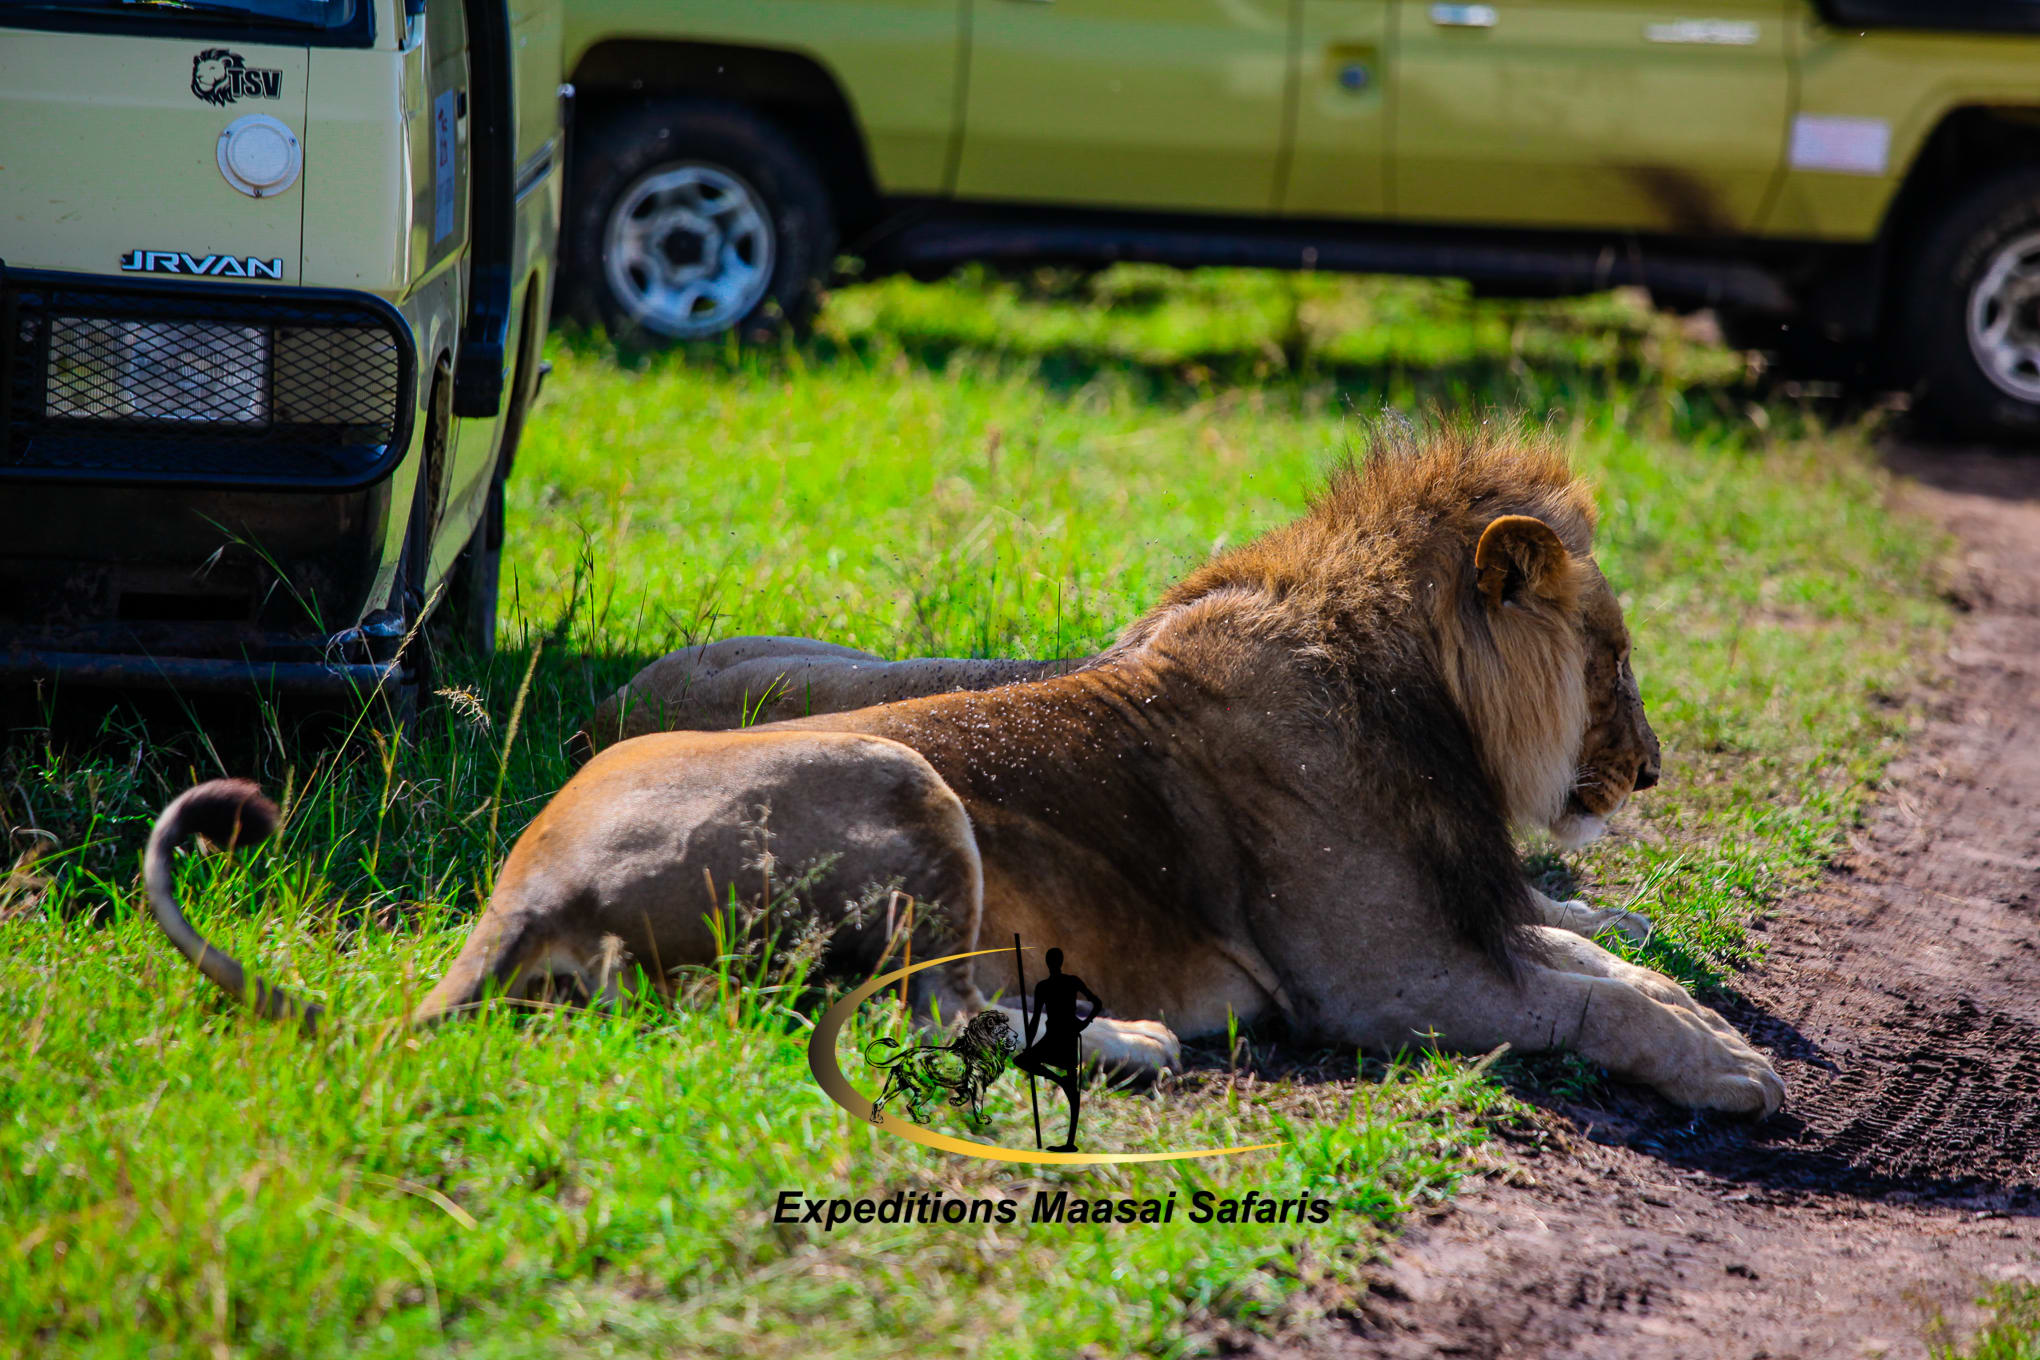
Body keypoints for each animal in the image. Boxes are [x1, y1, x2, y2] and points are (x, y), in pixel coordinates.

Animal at [144, 428, 1783, 1115]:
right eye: (1613, 655)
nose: (1651, 768)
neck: (1417, 693)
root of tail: (520, 882)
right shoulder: (1385, 982)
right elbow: (1582, 998)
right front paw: (1733, 1067)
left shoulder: (1469, 916)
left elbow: (1599, 956)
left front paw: (1694, 997)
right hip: (905, 783)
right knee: (896, 1022)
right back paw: (1136, 1039)